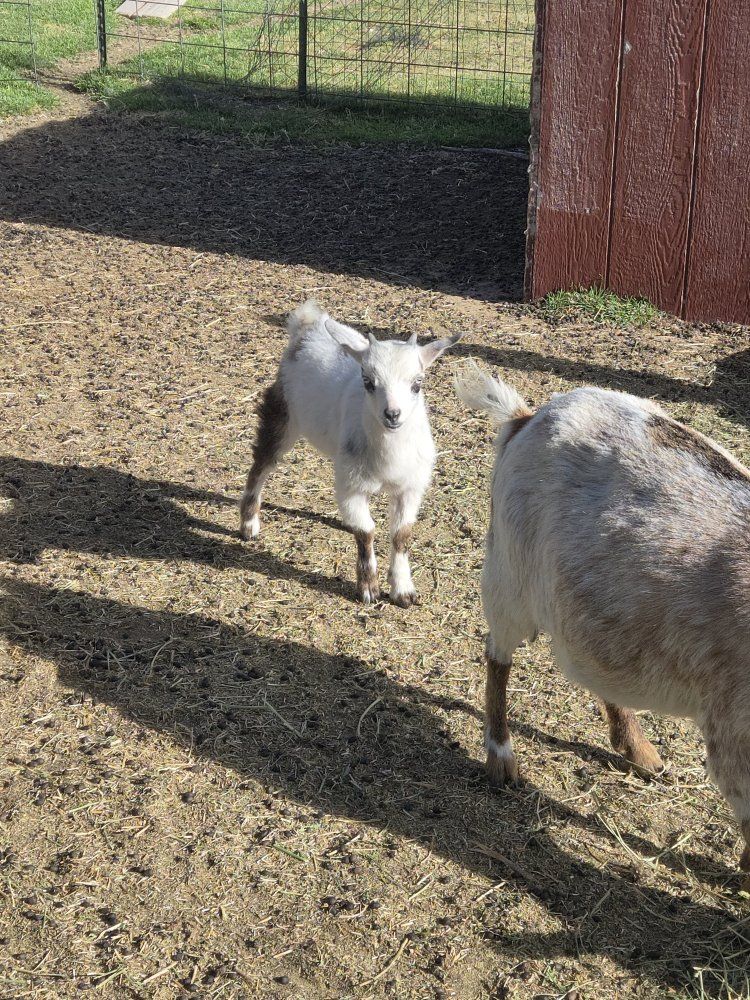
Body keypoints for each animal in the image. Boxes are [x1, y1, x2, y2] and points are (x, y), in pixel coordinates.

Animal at [240, 301, 461, 606]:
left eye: (418, 383)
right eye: (368, 382)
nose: (392, 414)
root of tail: (308, 325)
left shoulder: (410, 487)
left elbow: (401, 533)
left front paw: (403, 590)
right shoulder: (353, 487)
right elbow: (366, 532)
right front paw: (368, 589)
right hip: (281, 412)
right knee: (261, 465)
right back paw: (249, 524)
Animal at [456, 362, 750, 877]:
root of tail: (526, 418)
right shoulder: (735, 730)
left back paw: (639, 750)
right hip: (509, 573)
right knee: (497, 655)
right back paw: (501, 758)